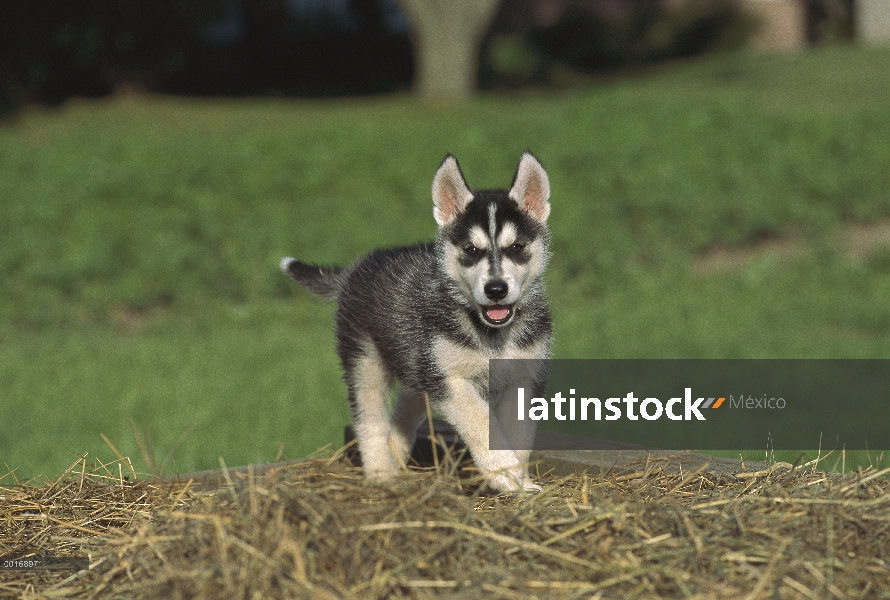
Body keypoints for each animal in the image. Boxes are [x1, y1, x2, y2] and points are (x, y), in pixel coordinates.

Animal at [280, 151, 552, 492]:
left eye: (516, 248)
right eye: (471, 250)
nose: (496, 289)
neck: (491, 334)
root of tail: (357, 268)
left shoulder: (524, 377)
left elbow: (519, 434)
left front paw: (522, 481)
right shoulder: (447, 379)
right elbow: (479, 418)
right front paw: (503, 472)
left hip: (414, 361)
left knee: (403, 413)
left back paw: (395, 456)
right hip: (367, 361)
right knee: (369, 418)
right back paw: (380, 473)